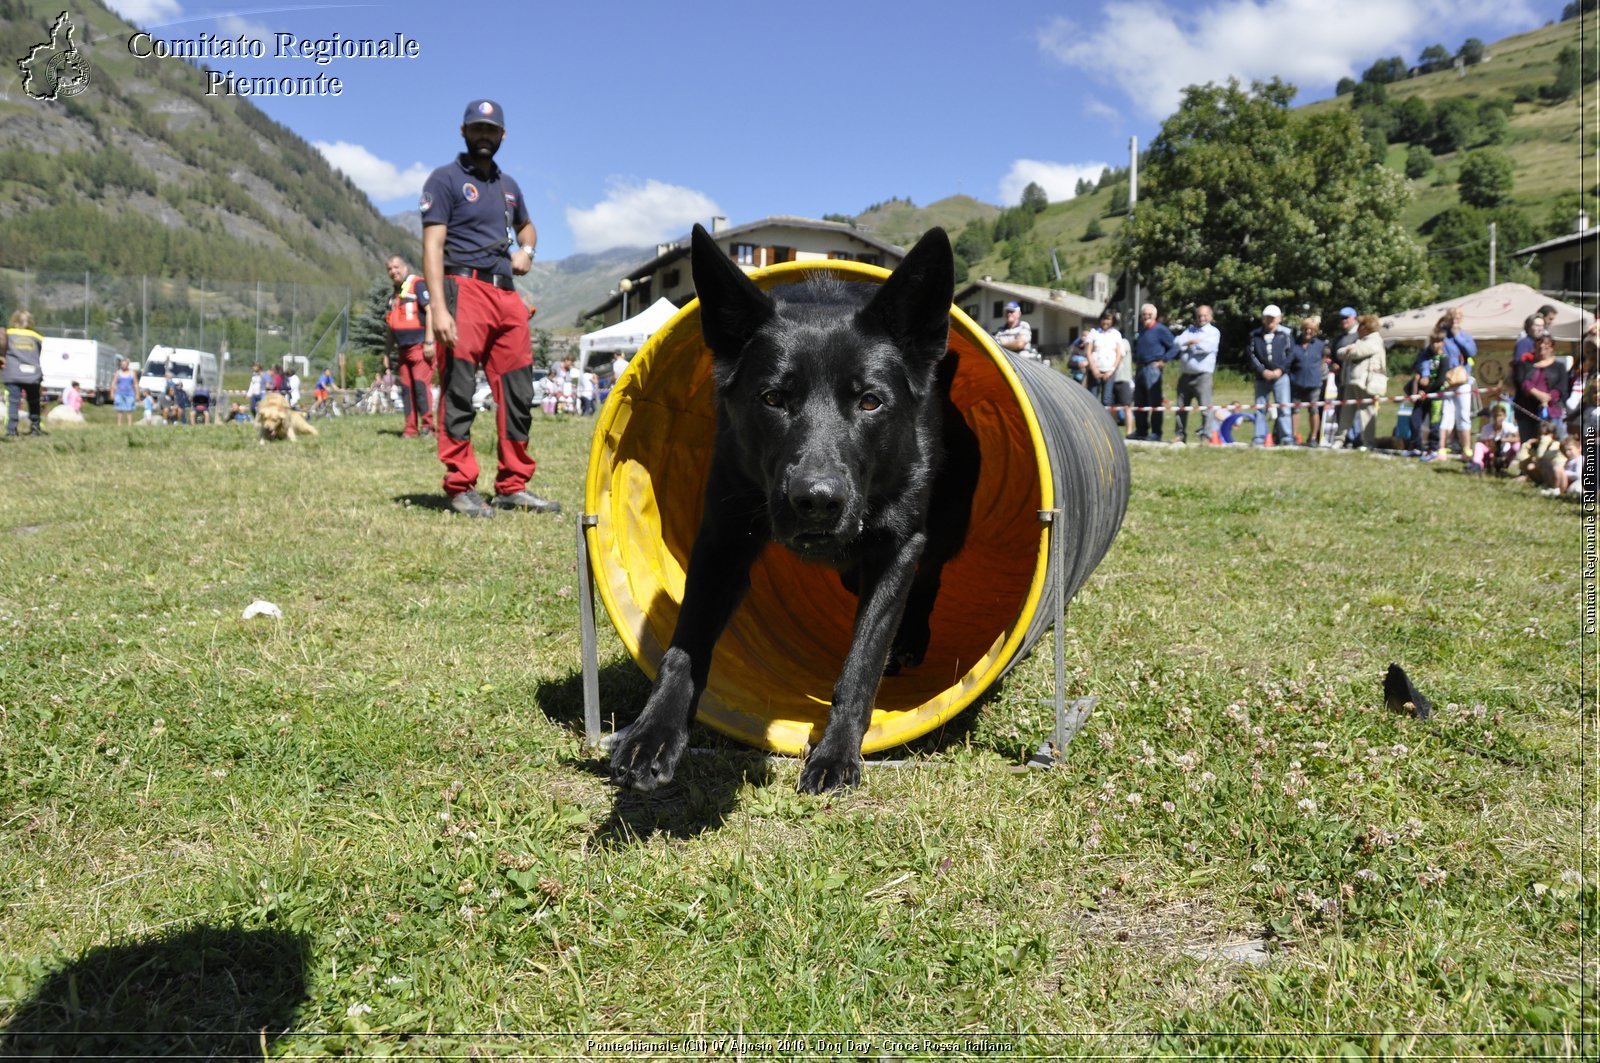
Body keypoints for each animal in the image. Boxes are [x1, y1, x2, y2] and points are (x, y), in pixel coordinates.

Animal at [608, 222, 972, 787]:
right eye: (773, 398)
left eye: (870, 401)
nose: (816, 502)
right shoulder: (722, 538)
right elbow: (685, 644)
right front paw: (654, 733)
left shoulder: (896, 546)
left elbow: (863, 657)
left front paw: (838, 752)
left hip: (942, 528)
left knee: (929, 578)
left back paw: (911, 639)